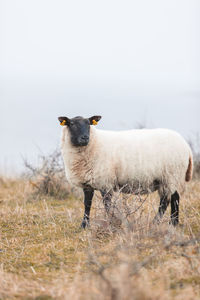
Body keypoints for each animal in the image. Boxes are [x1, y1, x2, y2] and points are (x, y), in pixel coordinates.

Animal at [57, 115, 192, 227]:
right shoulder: (88, 184)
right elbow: (87, 204)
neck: (94, 143)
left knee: (165, 201)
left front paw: (111, 223)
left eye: (89, 124)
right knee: (175, 197)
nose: (85, 138)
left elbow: (107, 205)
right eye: (72, 124)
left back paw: (156, 222)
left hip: (169, 176)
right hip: (170, 178)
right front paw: (84, 225)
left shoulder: (106, 182)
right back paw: (173, 223)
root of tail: (186, 146)